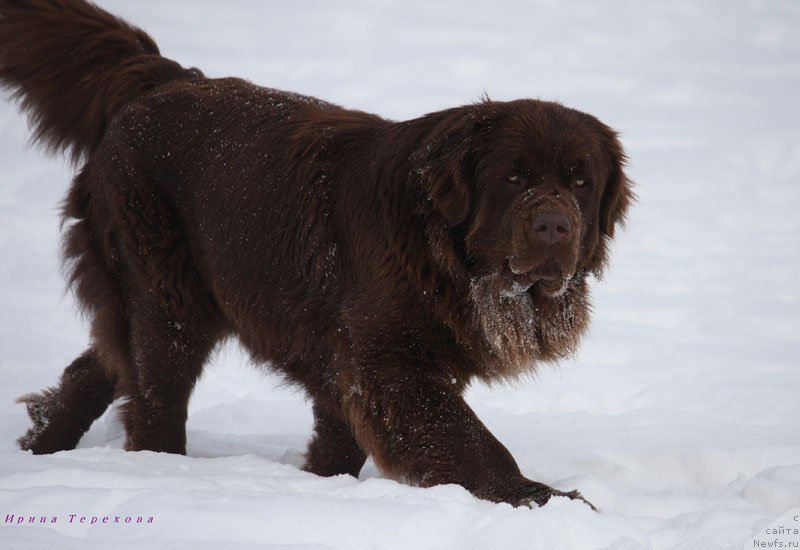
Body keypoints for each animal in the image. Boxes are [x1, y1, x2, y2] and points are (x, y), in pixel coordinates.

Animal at [3, 0, 636, 512]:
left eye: (581, 182)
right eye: (513, 177)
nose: (554, 225)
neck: (444, 256)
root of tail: (160, 81)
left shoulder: (349, 362)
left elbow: (343, 438)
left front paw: (322, 487)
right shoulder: (387, 361)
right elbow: (468, 438)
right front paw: (538, 498)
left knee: (104, 364)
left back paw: (43, 444)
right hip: (168, 295)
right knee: (156, 392)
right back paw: (164, 476)